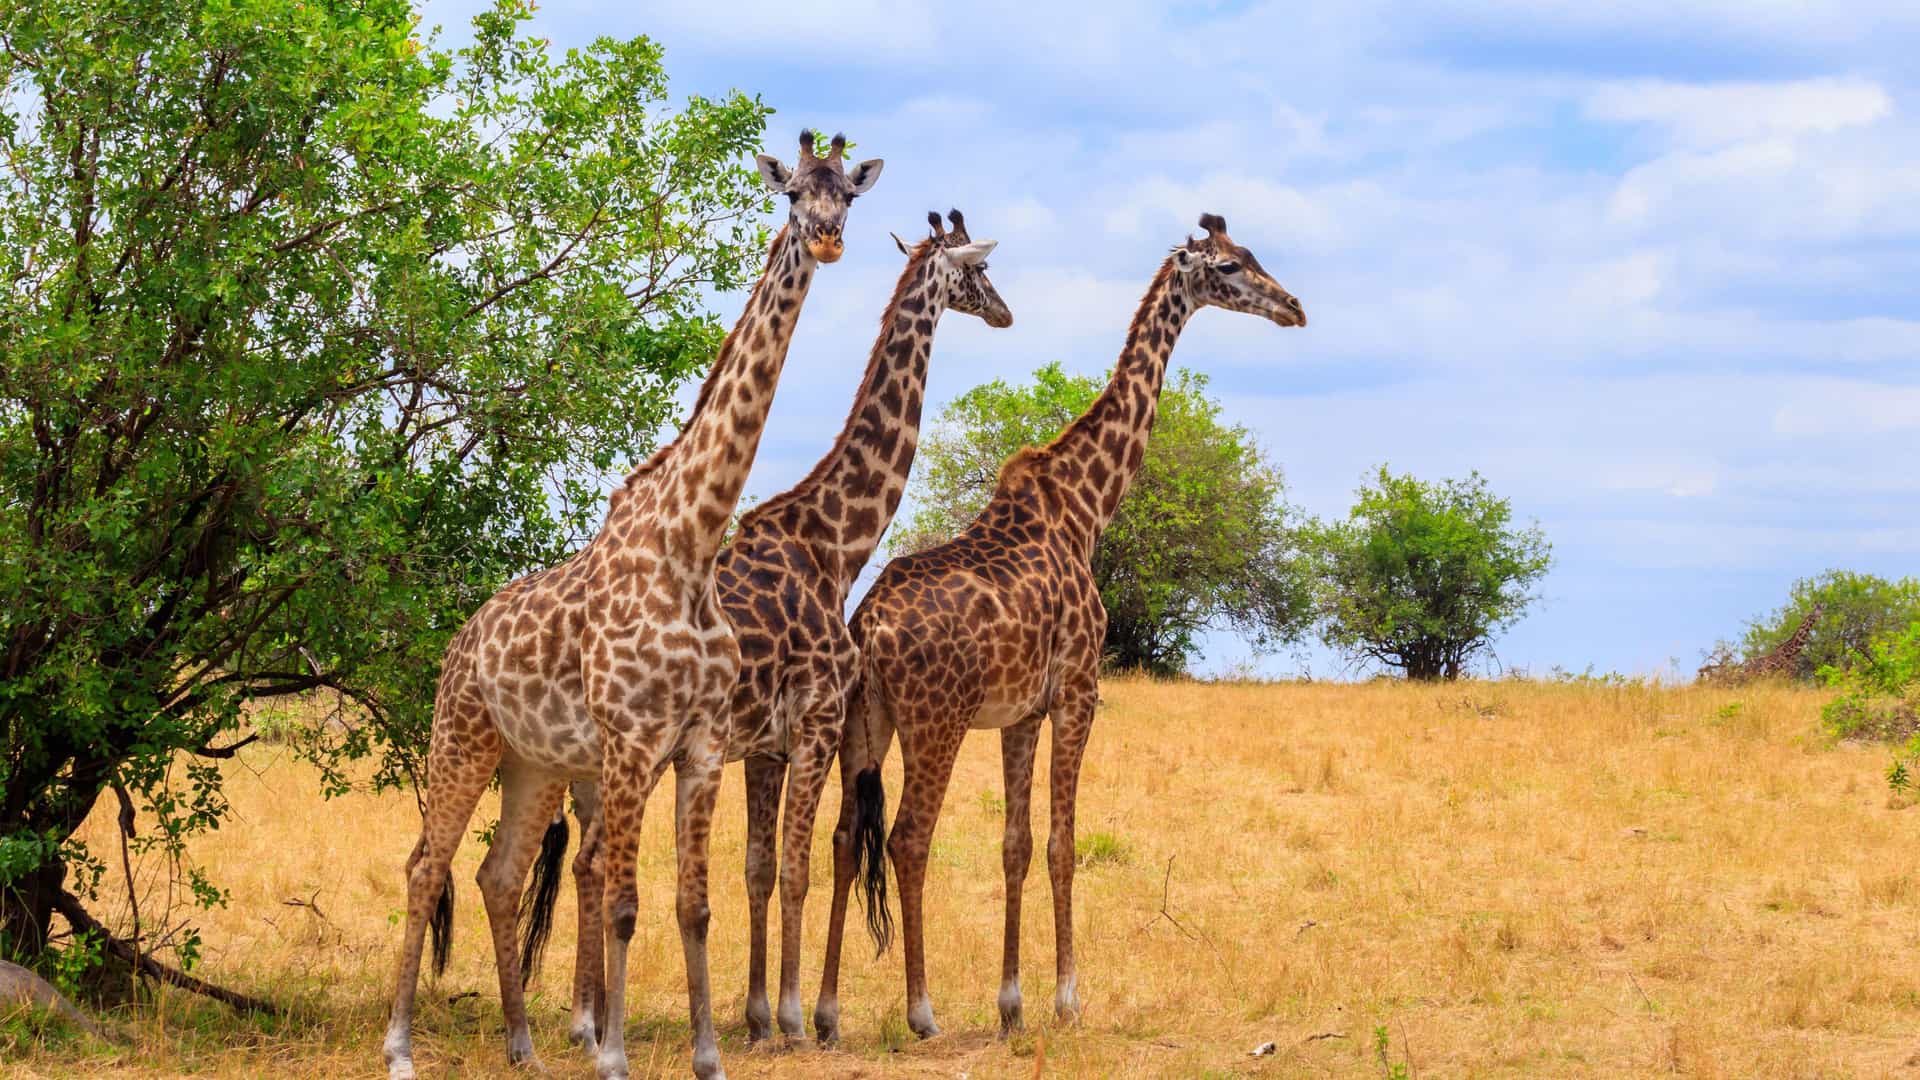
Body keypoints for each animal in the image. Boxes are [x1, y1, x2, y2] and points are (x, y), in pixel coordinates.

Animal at [381, 130, 883, 1080]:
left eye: (850, 193)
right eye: (793, 192)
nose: (832, 239)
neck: (690, 546)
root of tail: (460, 640)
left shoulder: (700, 746)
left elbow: (693, 905)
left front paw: (711, 1055)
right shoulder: (629, 739)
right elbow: (620, 900)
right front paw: (611, 1055)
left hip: (531, 762)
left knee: (496, 874)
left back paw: (523, 1047)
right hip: (461, 736)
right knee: (425, 863)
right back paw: (398, 1047)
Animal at [516, 210, 1012, 1046]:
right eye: (977, 273)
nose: (1006, 313)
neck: (835, 546)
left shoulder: (764, 748)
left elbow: (756, 868)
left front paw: (752, 1016)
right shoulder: (813, 725)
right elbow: (795, 869)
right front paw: (793, 1017)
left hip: (592, 764)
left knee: (584, 863)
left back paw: (588, 1017)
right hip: (626, 753)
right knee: (592, 863)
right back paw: (590, 1022)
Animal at [815, 213, 1306, 1043]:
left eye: (1251, 257)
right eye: (1231, 268)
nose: (1295, 307)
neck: (1088, 506)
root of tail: (871, 628)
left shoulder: (1019, 713)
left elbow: (1015, 845)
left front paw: (1012, 1003)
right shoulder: (1079, 690)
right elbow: (1063, 843)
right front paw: (1068, 999)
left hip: (865, 721)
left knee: (848, 836)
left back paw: (821, 1012)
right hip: (934, 721)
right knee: (909, 838)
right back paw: (920, 1010)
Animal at [1698, 601, 1827, 684]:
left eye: (1821, 609)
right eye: (1815, 610)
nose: (1818, 616)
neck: (1792, 651)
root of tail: (1743, 664)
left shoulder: (1789, 674)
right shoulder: (1787, 673)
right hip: (1751, 675)